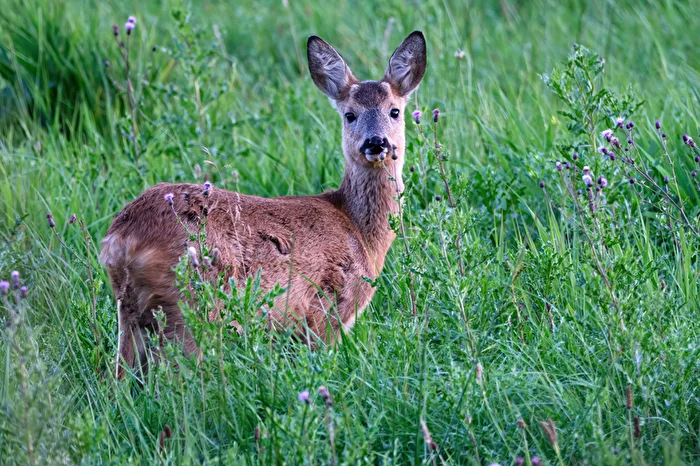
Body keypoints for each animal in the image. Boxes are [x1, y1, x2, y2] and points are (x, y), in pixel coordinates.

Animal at [100, 31, 427, 379]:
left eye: (395, 111)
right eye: (349, 114)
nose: (376, 142)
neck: (359, 231)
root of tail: (121, 239)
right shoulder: (327, 309)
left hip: (131, 311)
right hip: (189, 303)